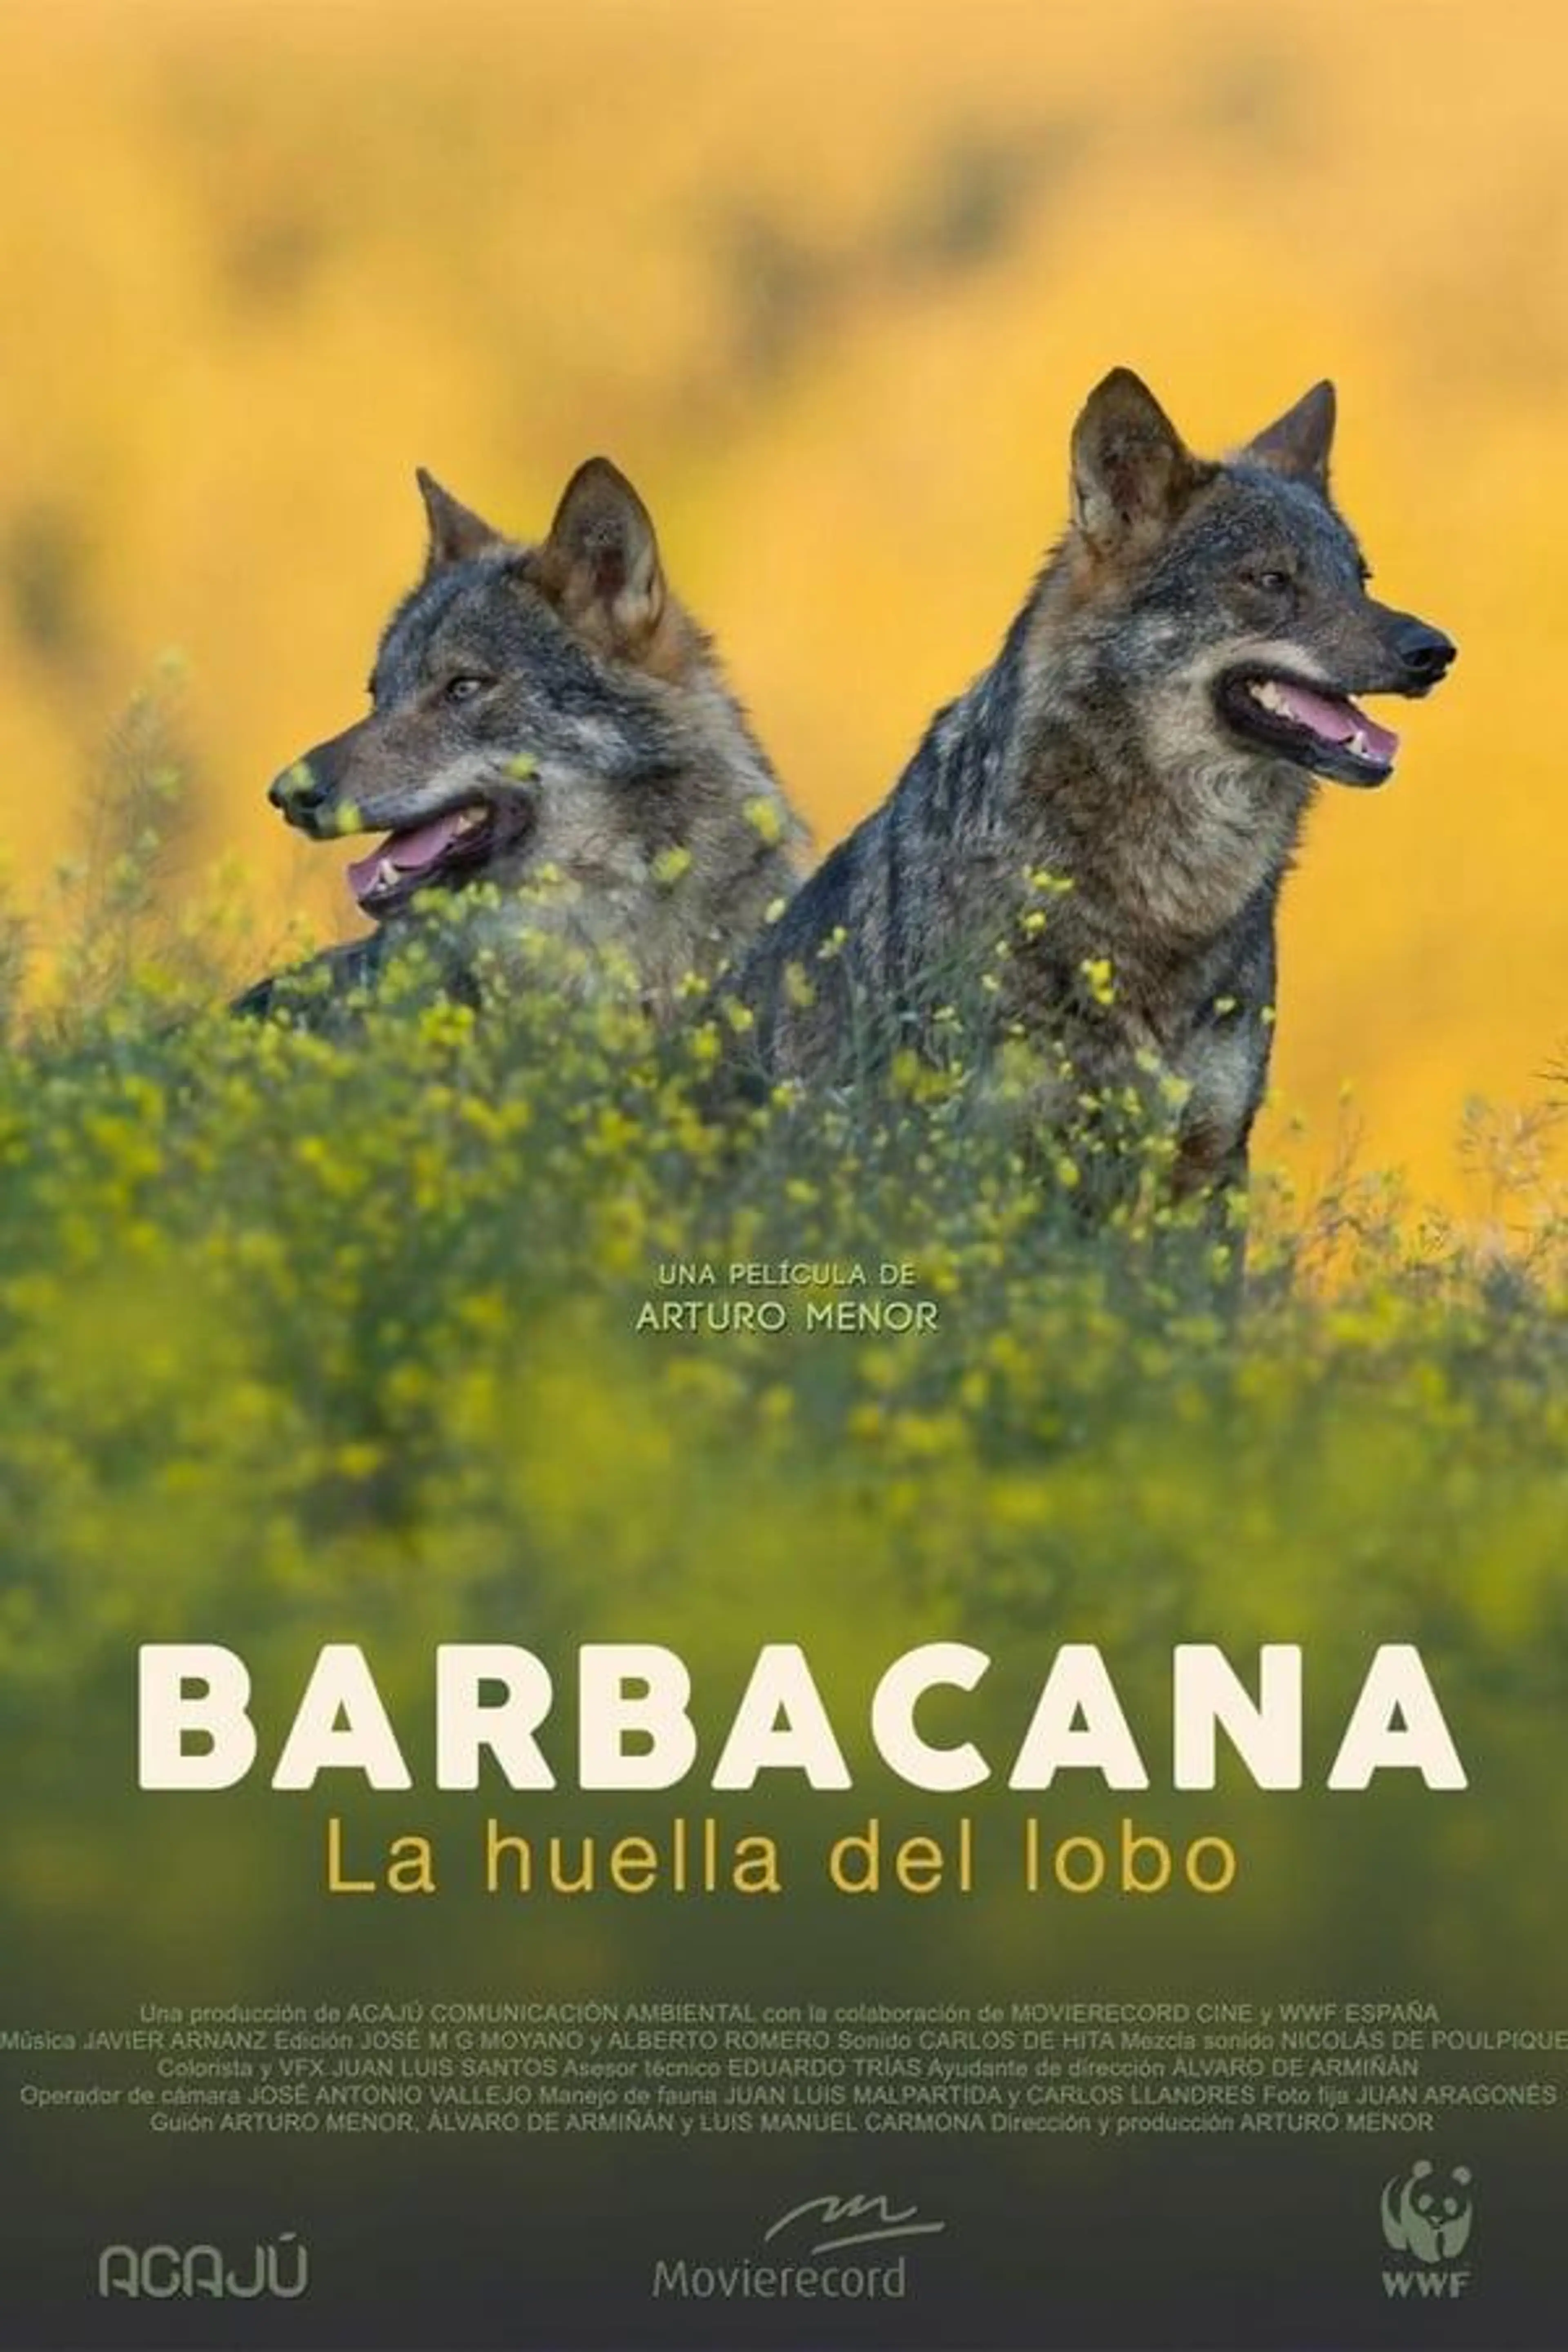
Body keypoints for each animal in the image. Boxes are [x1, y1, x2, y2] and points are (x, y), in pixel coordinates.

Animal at [735, 369, 1454, 1212]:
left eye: (1361, 579)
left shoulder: (1208, 1160)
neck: (1168, 899)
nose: (1435, 652)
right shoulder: (993, 1161)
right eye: (1272, 580)